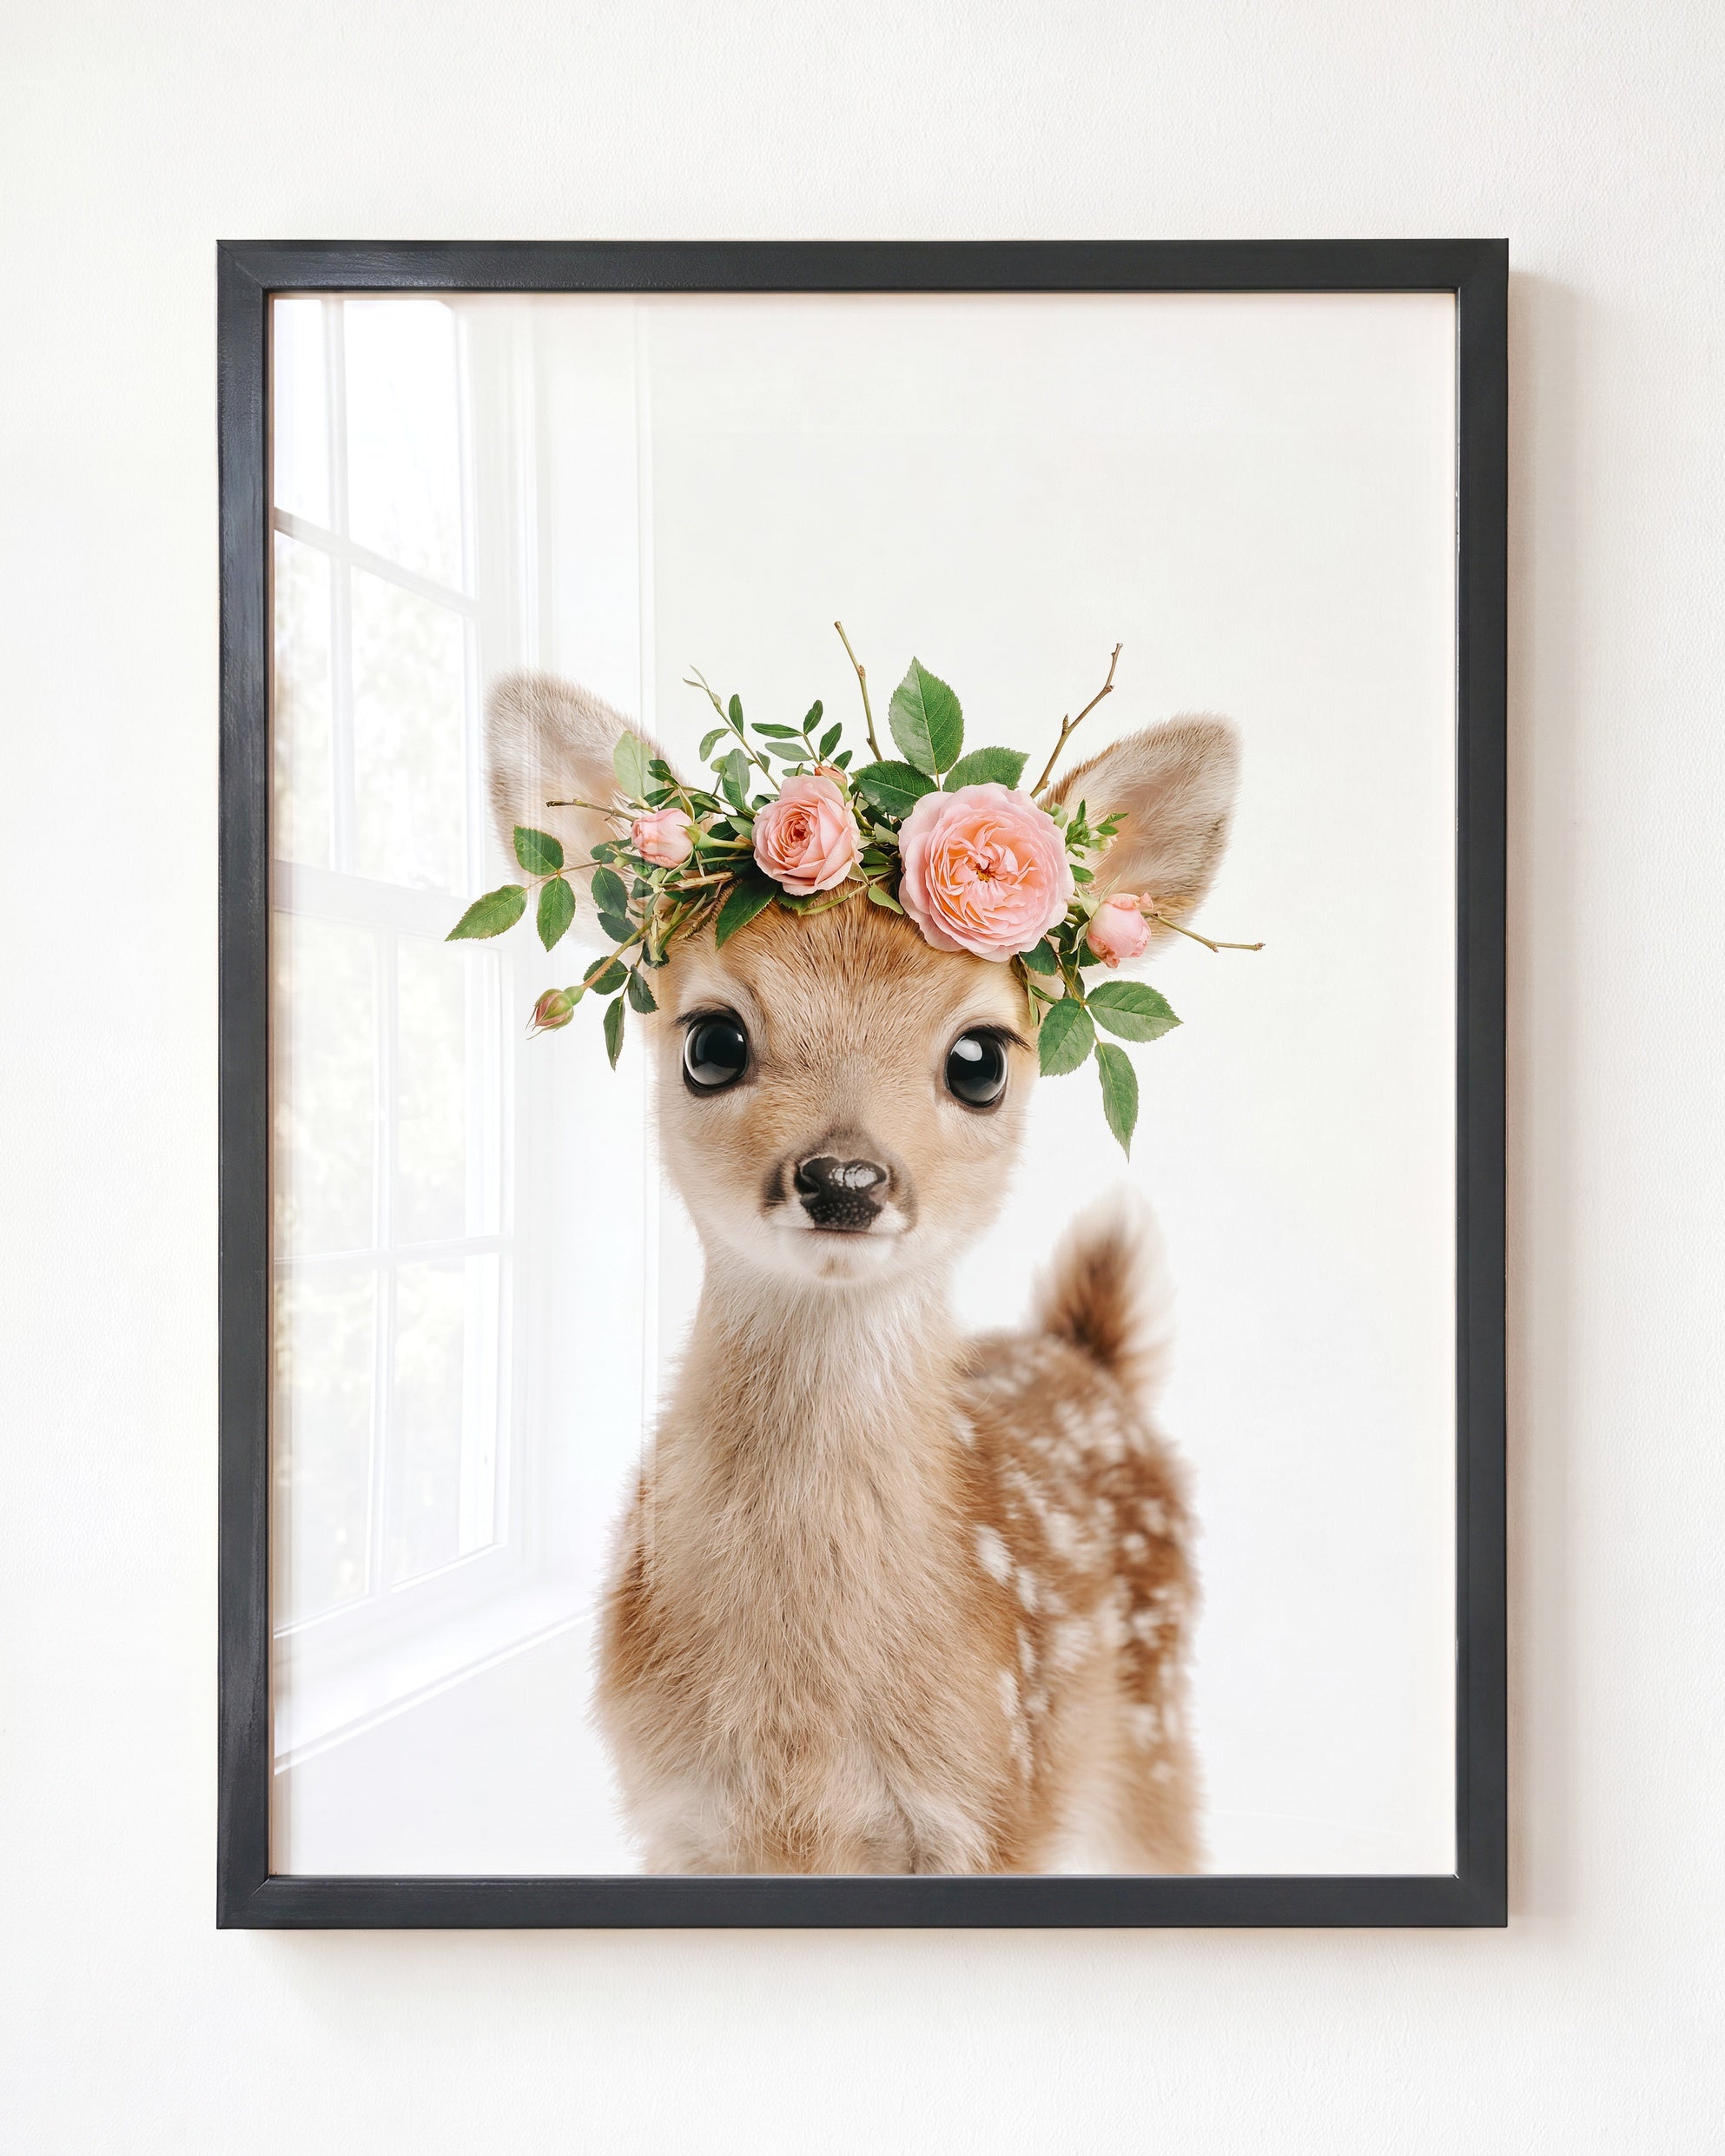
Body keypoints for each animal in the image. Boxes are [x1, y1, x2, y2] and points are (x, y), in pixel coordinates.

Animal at [485, 669, 1240, 1874]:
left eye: (980, 1059)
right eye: (711, 1042)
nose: (844, 1177)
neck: (802, 1735)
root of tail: (1087, 1356)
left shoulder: (992, 1805)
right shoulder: (677, 1818)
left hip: (1149, 1731)